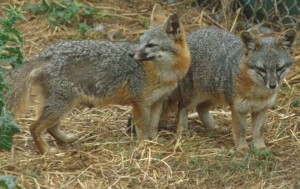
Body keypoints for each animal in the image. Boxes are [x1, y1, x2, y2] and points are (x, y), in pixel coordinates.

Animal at [4, 5, 190, 154]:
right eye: (140, 42)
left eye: (151, 45)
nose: (131, 54)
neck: (164, 74)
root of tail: (46, 53)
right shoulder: (140, 103)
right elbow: (142, 129)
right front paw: (144, 147)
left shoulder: (158, 101)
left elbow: (153, 126)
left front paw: (155, 143)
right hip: (62, 104)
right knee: (34, 127)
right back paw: (47, 152)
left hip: (64, 105)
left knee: (51, 127)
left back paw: (67, 140)